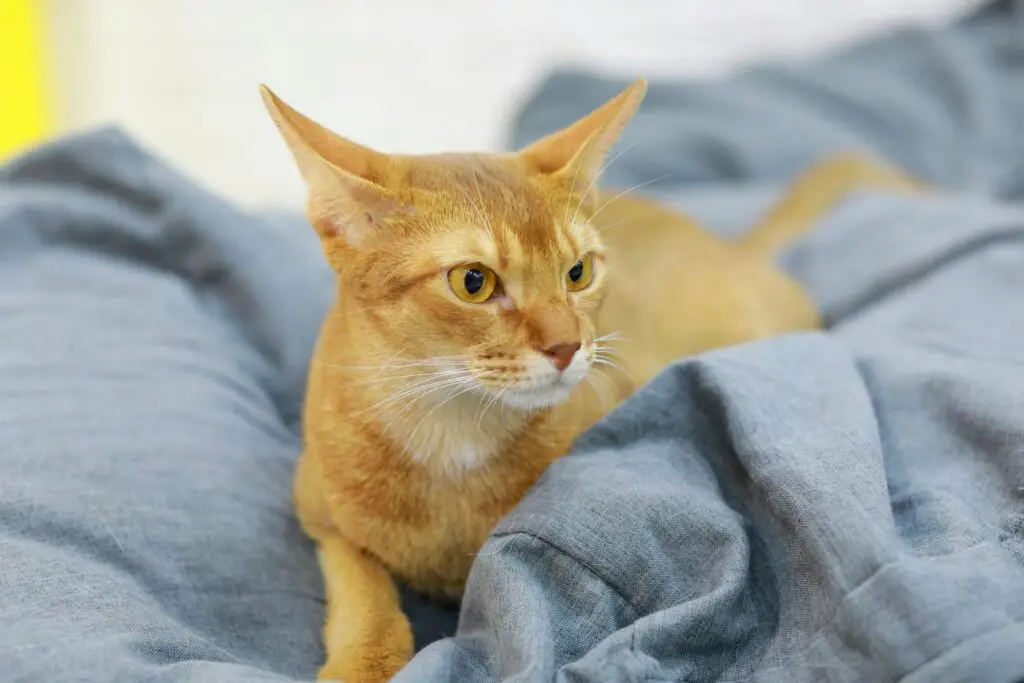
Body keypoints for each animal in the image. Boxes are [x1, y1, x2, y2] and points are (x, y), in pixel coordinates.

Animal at [256, 77, 921, 679]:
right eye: (473, 282)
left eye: (578, 273)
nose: (566, 345)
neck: (453, 436)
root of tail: (732, 248)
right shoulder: (315, 506)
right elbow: (361, 586)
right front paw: (363, 660)